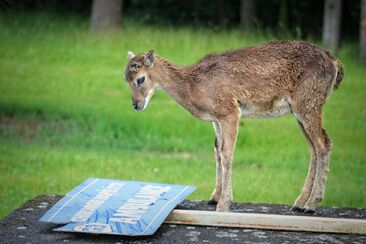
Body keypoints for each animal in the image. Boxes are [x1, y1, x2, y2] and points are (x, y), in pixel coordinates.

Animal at [123, 39, 344, 212]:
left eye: (140, 79)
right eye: (126, 79)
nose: (136, 105)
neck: (194, 87)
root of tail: (334, 62)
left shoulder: (230, 111)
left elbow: (227, 153)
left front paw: (224, 203)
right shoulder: (216, 119)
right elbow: (217, 152)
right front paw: (214, 197)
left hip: (308, 103)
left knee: (323, 144)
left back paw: (311, 204)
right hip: (302, 110)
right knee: (316, 147)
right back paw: (299, 202)